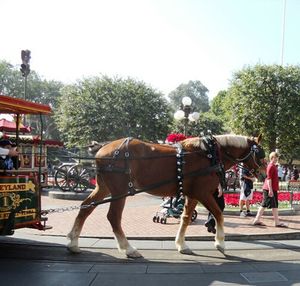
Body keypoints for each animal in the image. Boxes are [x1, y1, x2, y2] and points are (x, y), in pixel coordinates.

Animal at [67, 134, 264, 256]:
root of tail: (103, 147)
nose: (263, 175)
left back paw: (73, 243)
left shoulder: (192, 194)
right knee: (113, 217)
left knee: (85, 207)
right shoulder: (203, 193)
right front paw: (220, 243)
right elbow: (218, 214)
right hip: (120, 191)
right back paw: (128, 249)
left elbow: (185, 218)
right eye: (260, 154)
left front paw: (182, 245)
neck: (210, 154)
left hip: (103, 188)